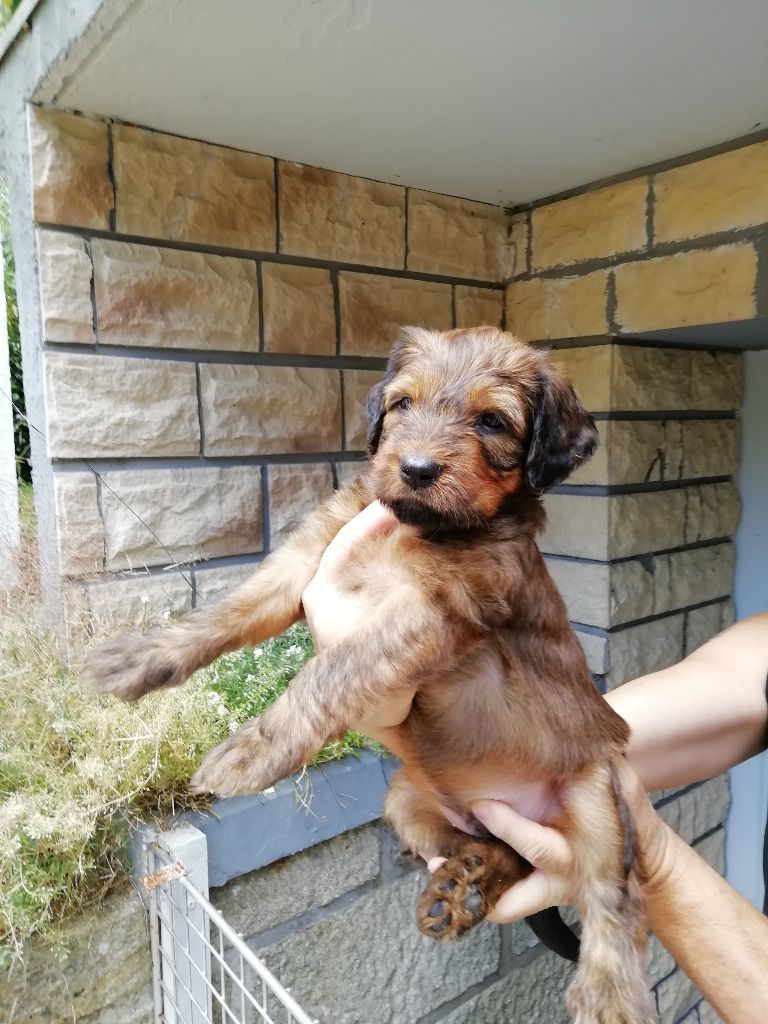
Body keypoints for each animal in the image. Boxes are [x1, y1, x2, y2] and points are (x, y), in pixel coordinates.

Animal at [83, 327, 654, 1024]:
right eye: (403, 404)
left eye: (493, 421)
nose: (416, 469)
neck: (417, 526)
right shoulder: (306, 558)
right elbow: (227, 611)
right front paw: (136, 656)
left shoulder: (431, 611)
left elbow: (331, 670)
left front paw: (252, 750)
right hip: (410, 798)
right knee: (506, 857)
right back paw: (459, 886)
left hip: (598, 794)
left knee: (612, 899)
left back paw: (607, 994)